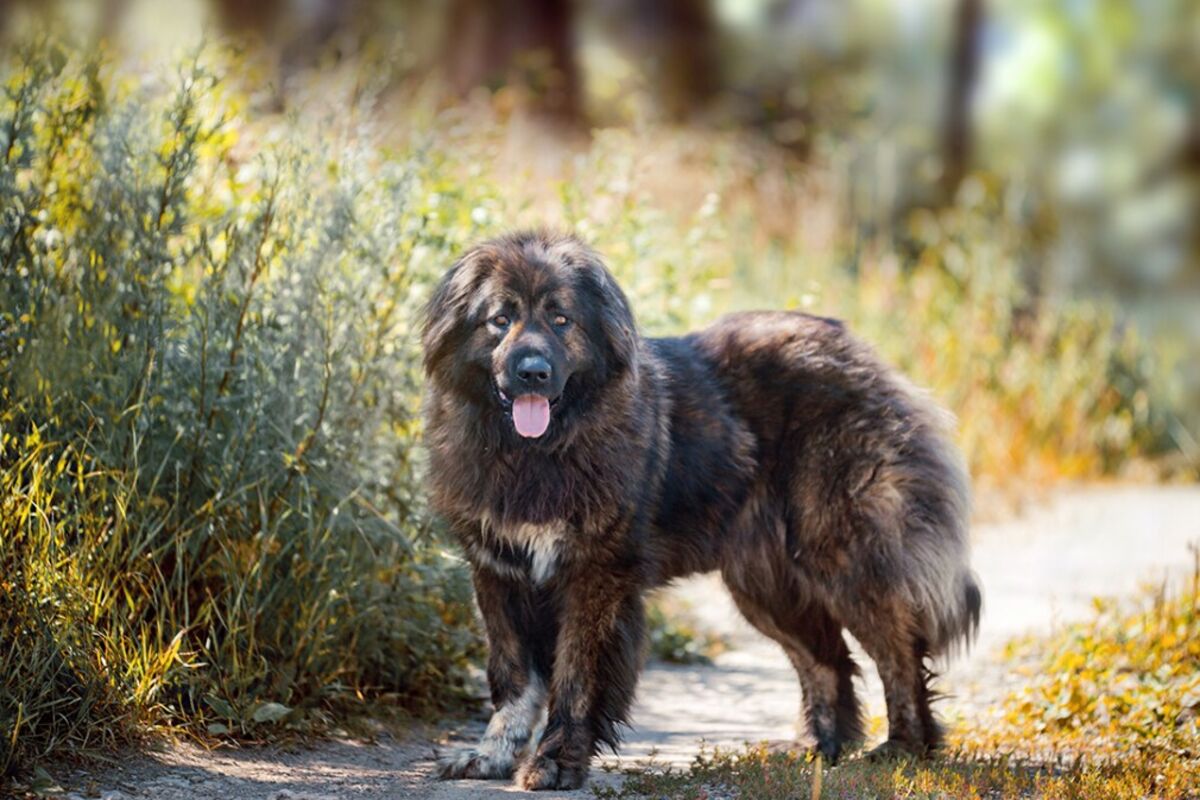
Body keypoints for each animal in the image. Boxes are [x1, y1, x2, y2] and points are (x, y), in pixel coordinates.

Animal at [422, 230, 981, 790]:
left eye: (562, 320)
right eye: (500, 319)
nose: (533, 372)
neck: (536, 452)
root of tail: (861, 352)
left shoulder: (594, 575)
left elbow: (575, 678)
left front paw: (556, 761)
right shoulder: (498, 571)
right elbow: (512, 677)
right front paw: (490, 756)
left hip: (842, 554)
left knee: (897, 650)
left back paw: (904, 747)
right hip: (765, 585)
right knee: (827, 660)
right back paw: (818, 749)